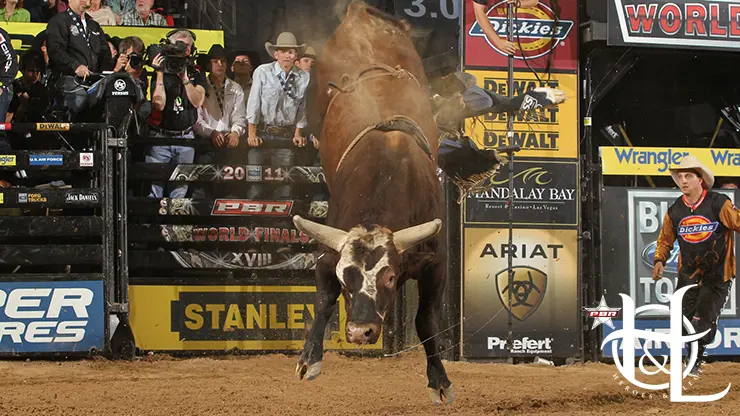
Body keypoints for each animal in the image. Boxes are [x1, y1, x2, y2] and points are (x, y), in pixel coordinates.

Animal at [291, 0, 454, 405]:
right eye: (344, 277)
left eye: (391, 277)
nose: (359, 332)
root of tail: (360, 14)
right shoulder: (328, 253)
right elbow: (323, 301)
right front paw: (309, 360)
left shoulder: (436, 263)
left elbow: (427, 320)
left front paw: (439, 380)